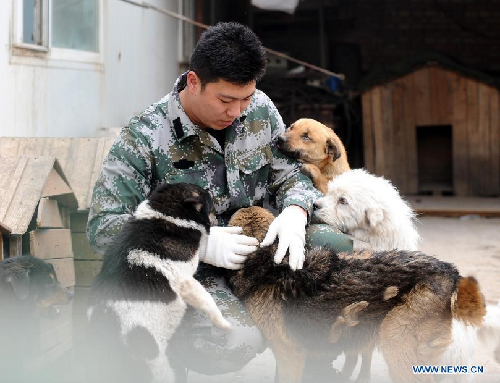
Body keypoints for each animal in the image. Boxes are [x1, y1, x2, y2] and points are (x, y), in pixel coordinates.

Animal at [87, 183, 230, 383]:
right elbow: (208, 302)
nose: (224, 201)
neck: (167, 215)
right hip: (157, 364)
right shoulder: (184, 280)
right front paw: (223, 324)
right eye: (211, 205)